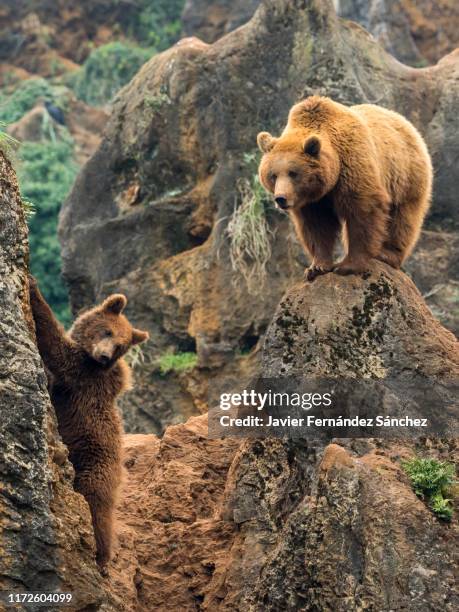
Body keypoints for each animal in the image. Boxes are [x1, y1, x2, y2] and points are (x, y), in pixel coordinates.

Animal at [258, 97, 434, 280]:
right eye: (273, 175)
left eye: (293, 173)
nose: (281, 198)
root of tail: (407, 123)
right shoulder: (314, 200)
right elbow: (317, 225)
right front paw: (316, 267)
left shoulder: (352, 166)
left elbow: (362, 212)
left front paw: (347, 266)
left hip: (405, 175)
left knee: (403, 217)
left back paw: (387, 254)